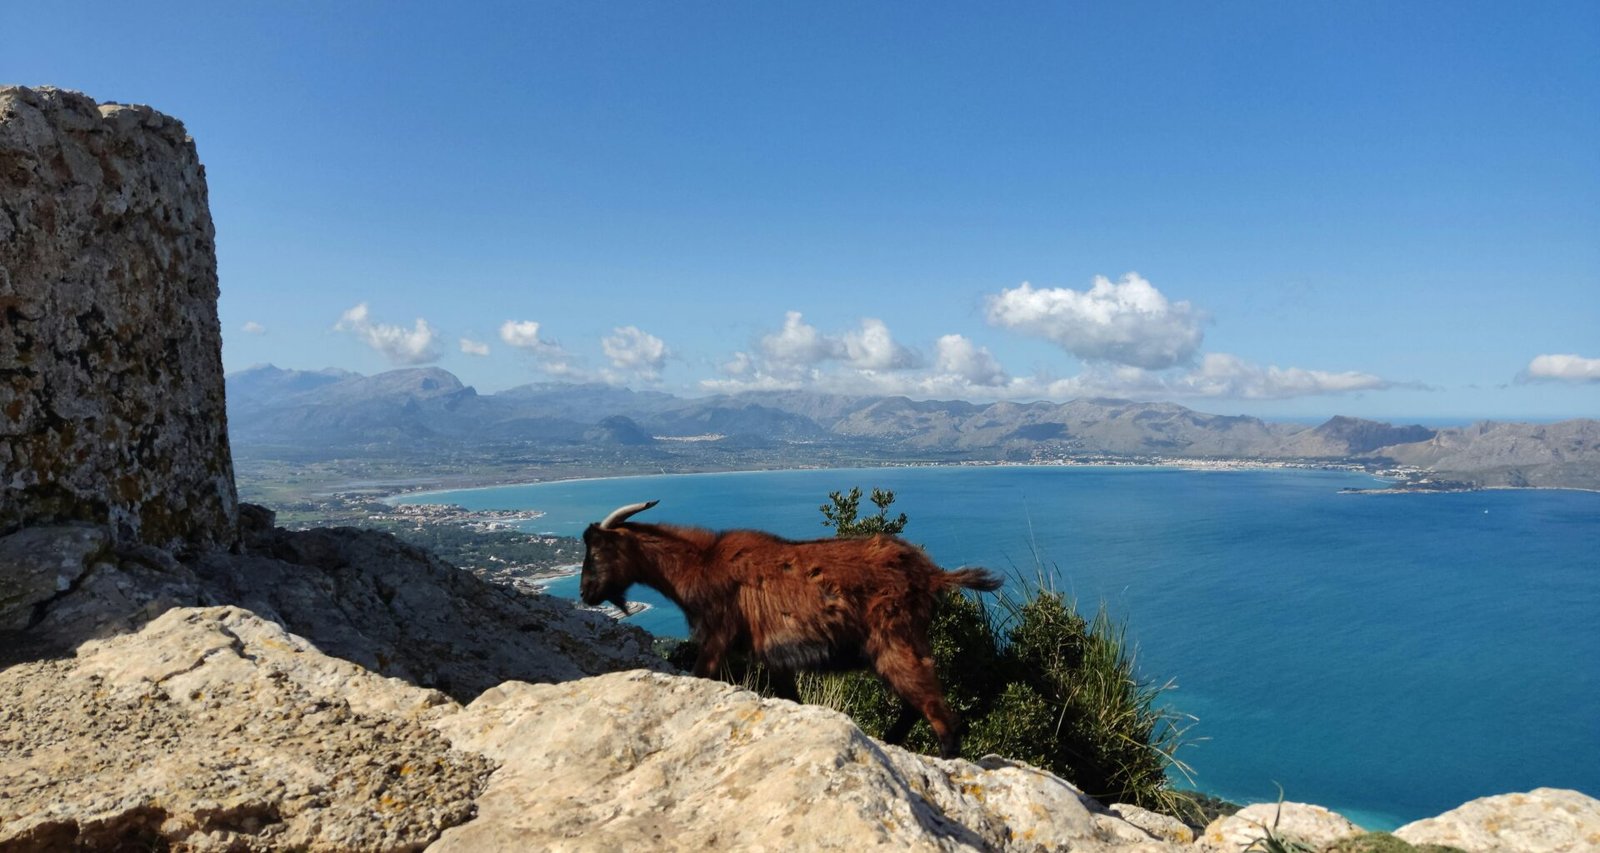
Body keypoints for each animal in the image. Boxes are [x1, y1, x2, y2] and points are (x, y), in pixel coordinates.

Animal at [580, 499, 1002, 758]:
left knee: (939, 713)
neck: (701, 563)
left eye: (597, 551)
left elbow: (703, 673)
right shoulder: (775, 656)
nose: (585, 592)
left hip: (894, 639)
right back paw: (889, 741)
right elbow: (791, 699)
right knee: (916, 704)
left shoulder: (717, 635)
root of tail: (930, 575)